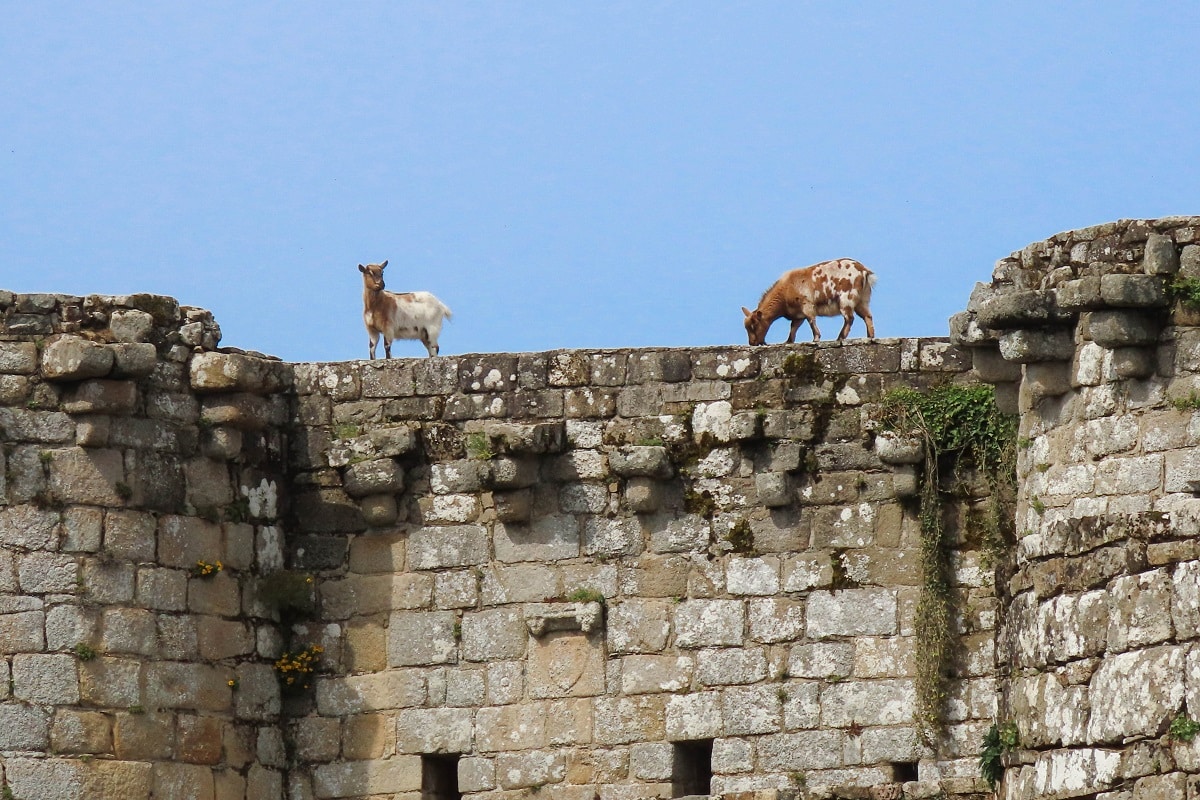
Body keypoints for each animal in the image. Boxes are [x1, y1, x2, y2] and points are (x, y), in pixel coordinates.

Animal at [734, 256, 878, 345]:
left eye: (754, 325)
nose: (752, 343)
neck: (785, 291)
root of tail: (864, 271)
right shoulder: (798, 315)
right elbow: (793, 327)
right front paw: (788, 341)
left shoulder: (807, 305)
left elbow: (811, 321)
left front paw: (816, 339)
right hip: (862, 300)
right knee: (867, 316)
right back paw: (870, 337)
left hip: (846, 299)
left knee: (849, 318)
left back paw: (840, 338)